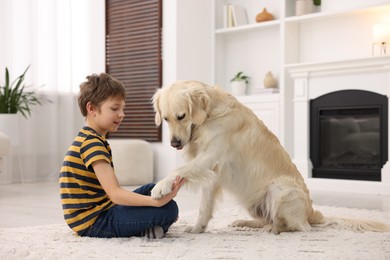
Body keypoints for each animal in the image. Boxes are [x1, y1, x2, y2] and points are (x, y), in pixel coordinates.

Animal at [151, 79, 388, 234]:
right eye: (166, 119)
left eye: (181, 116)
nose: (174, 143)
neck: (209, 117)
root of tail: (313, 213)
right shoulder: (212, 173)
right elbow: (204, 207)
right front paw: (197, 229)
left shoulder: (211, 157)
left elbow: (179, 169)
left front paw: (161, 186)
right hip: (253, 200)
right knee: (269, 219)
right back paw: (245, 224)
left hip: (280, 189)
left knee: (296, 227)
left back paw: (272, 229)